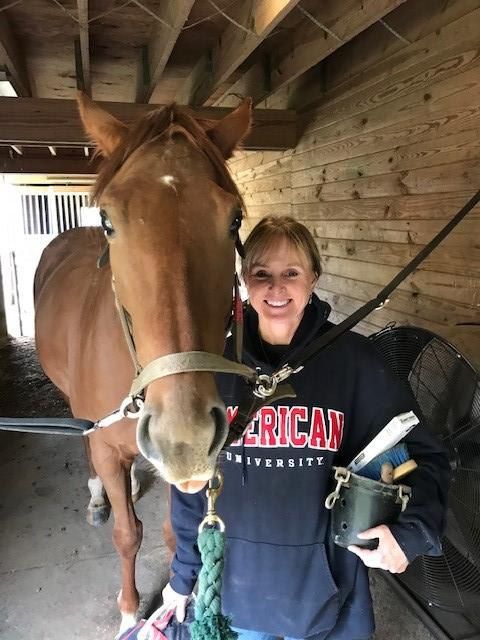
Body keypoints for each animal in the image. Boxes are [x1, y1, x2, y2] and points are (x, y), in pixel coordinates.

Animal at [33, 96, 251, 636]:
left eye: (235, 220)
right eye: (109, 221)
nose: (184, 439)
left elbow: (176, 536)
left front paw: (178, 603)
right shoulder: (107, 445)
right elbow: (127, 533)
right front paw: (131, 611)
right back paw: (98, 495)